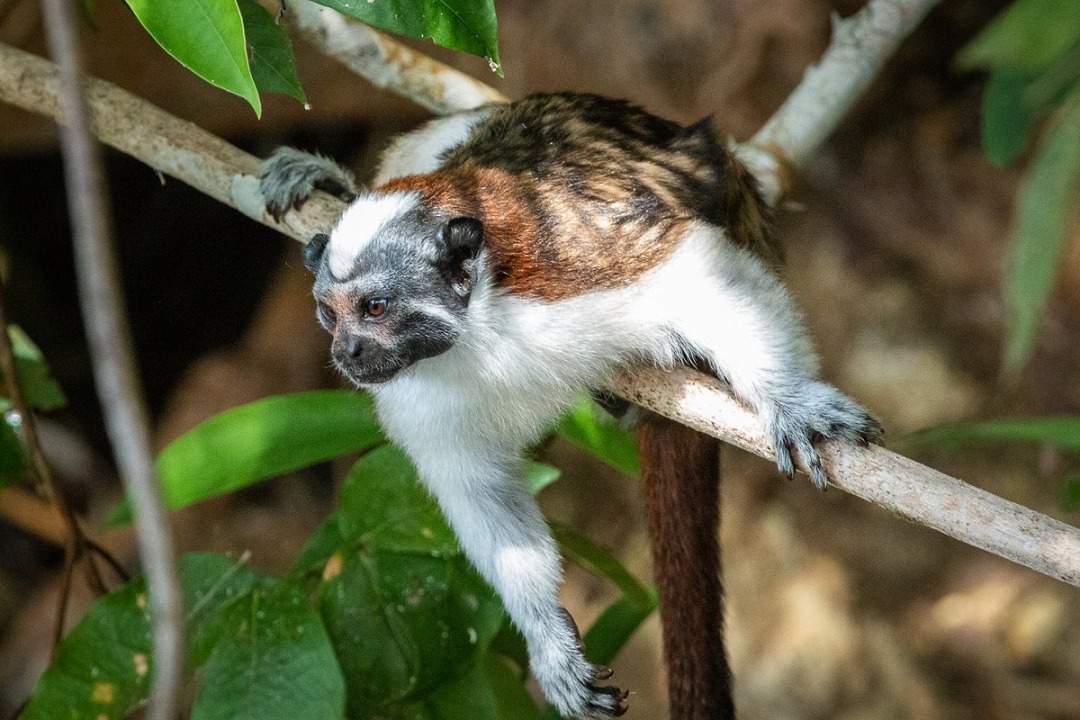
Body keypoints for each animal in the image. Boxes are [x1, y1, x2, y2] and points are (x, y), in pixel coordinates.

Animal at [259, 92, 882, 720]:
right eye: (330, 314)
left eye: (376, 308)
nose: (346, 352)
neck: (479, 328)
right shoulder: (417, 399)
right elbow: (481, 490)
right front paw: (549, 641)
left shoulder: (573, 267)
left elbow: (695, 273)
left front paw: (790, 399)